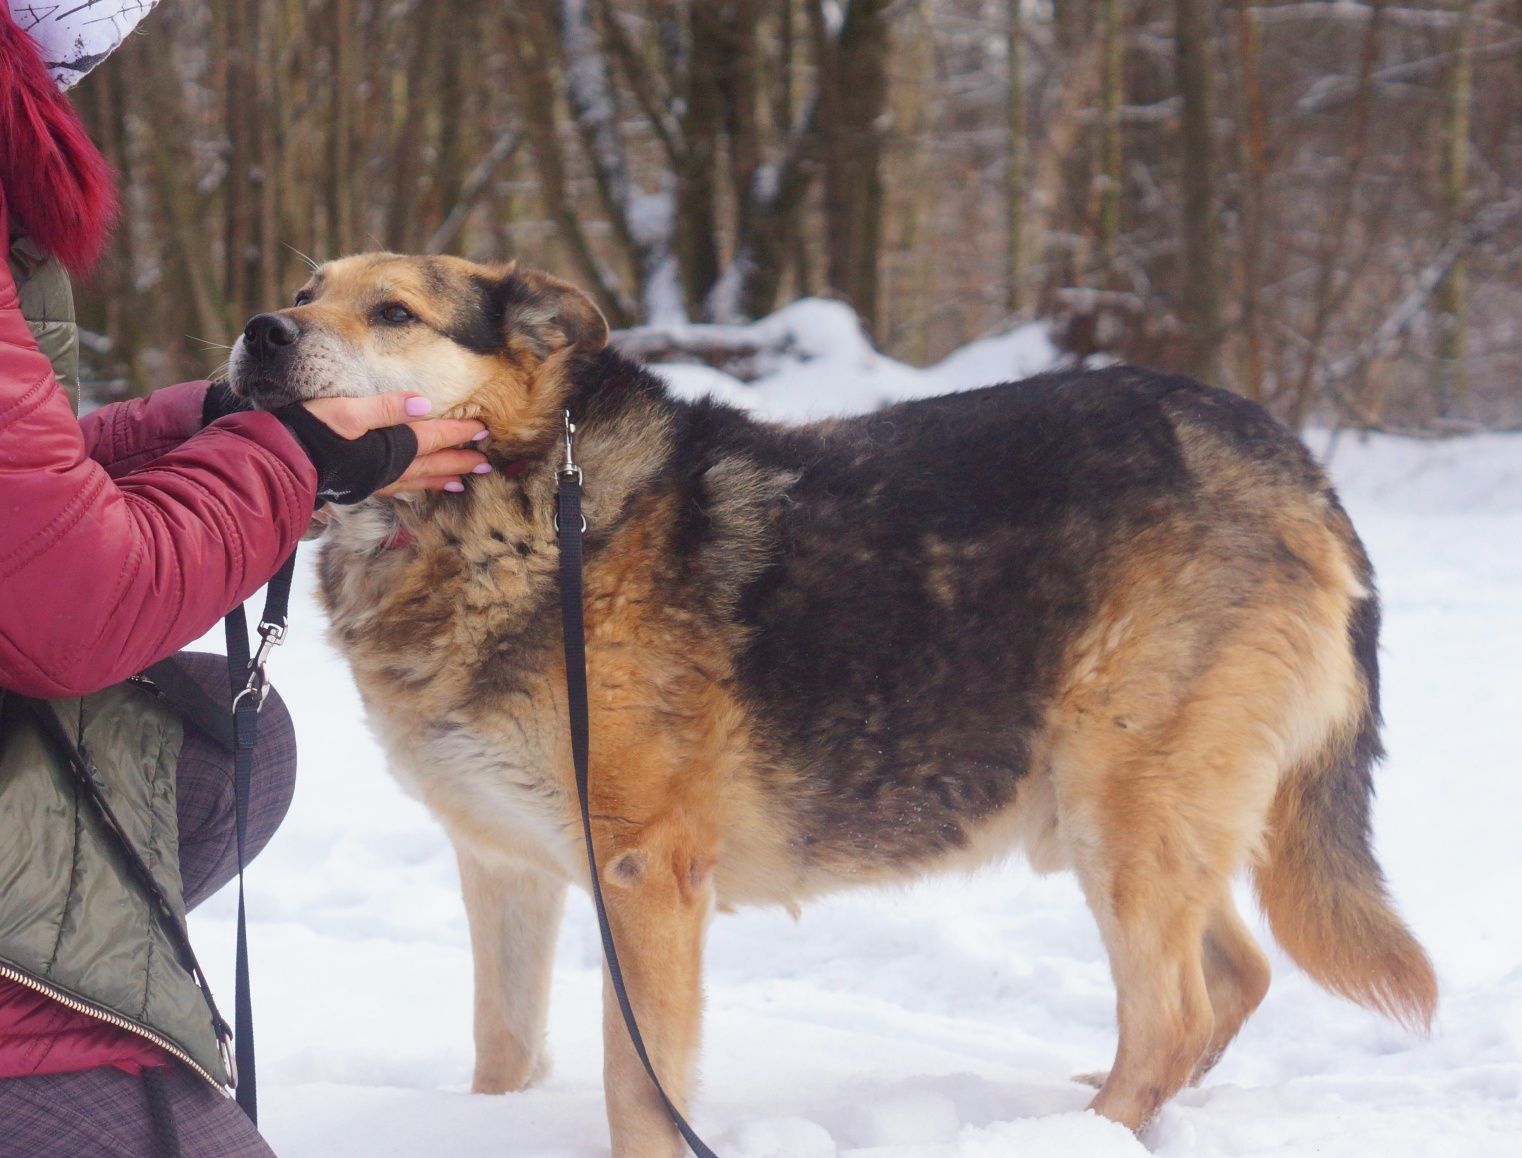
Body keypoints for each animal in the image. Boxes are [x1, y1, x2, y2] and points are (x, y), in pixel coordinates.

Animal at [228, 255, 1436, 1156]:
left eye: (392, 311)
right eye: (303, 287)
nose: (259, 332)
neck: (505, 514)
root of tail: (1293, 461)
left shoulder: (643, 877)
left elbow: (638, 1088)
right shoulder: (505, 869)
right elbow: (501, 1054)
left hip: (1122, 813)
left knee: (1175, 1011)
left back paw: (1076, 1136)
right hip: (1136, 819)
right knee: (1229, 981)